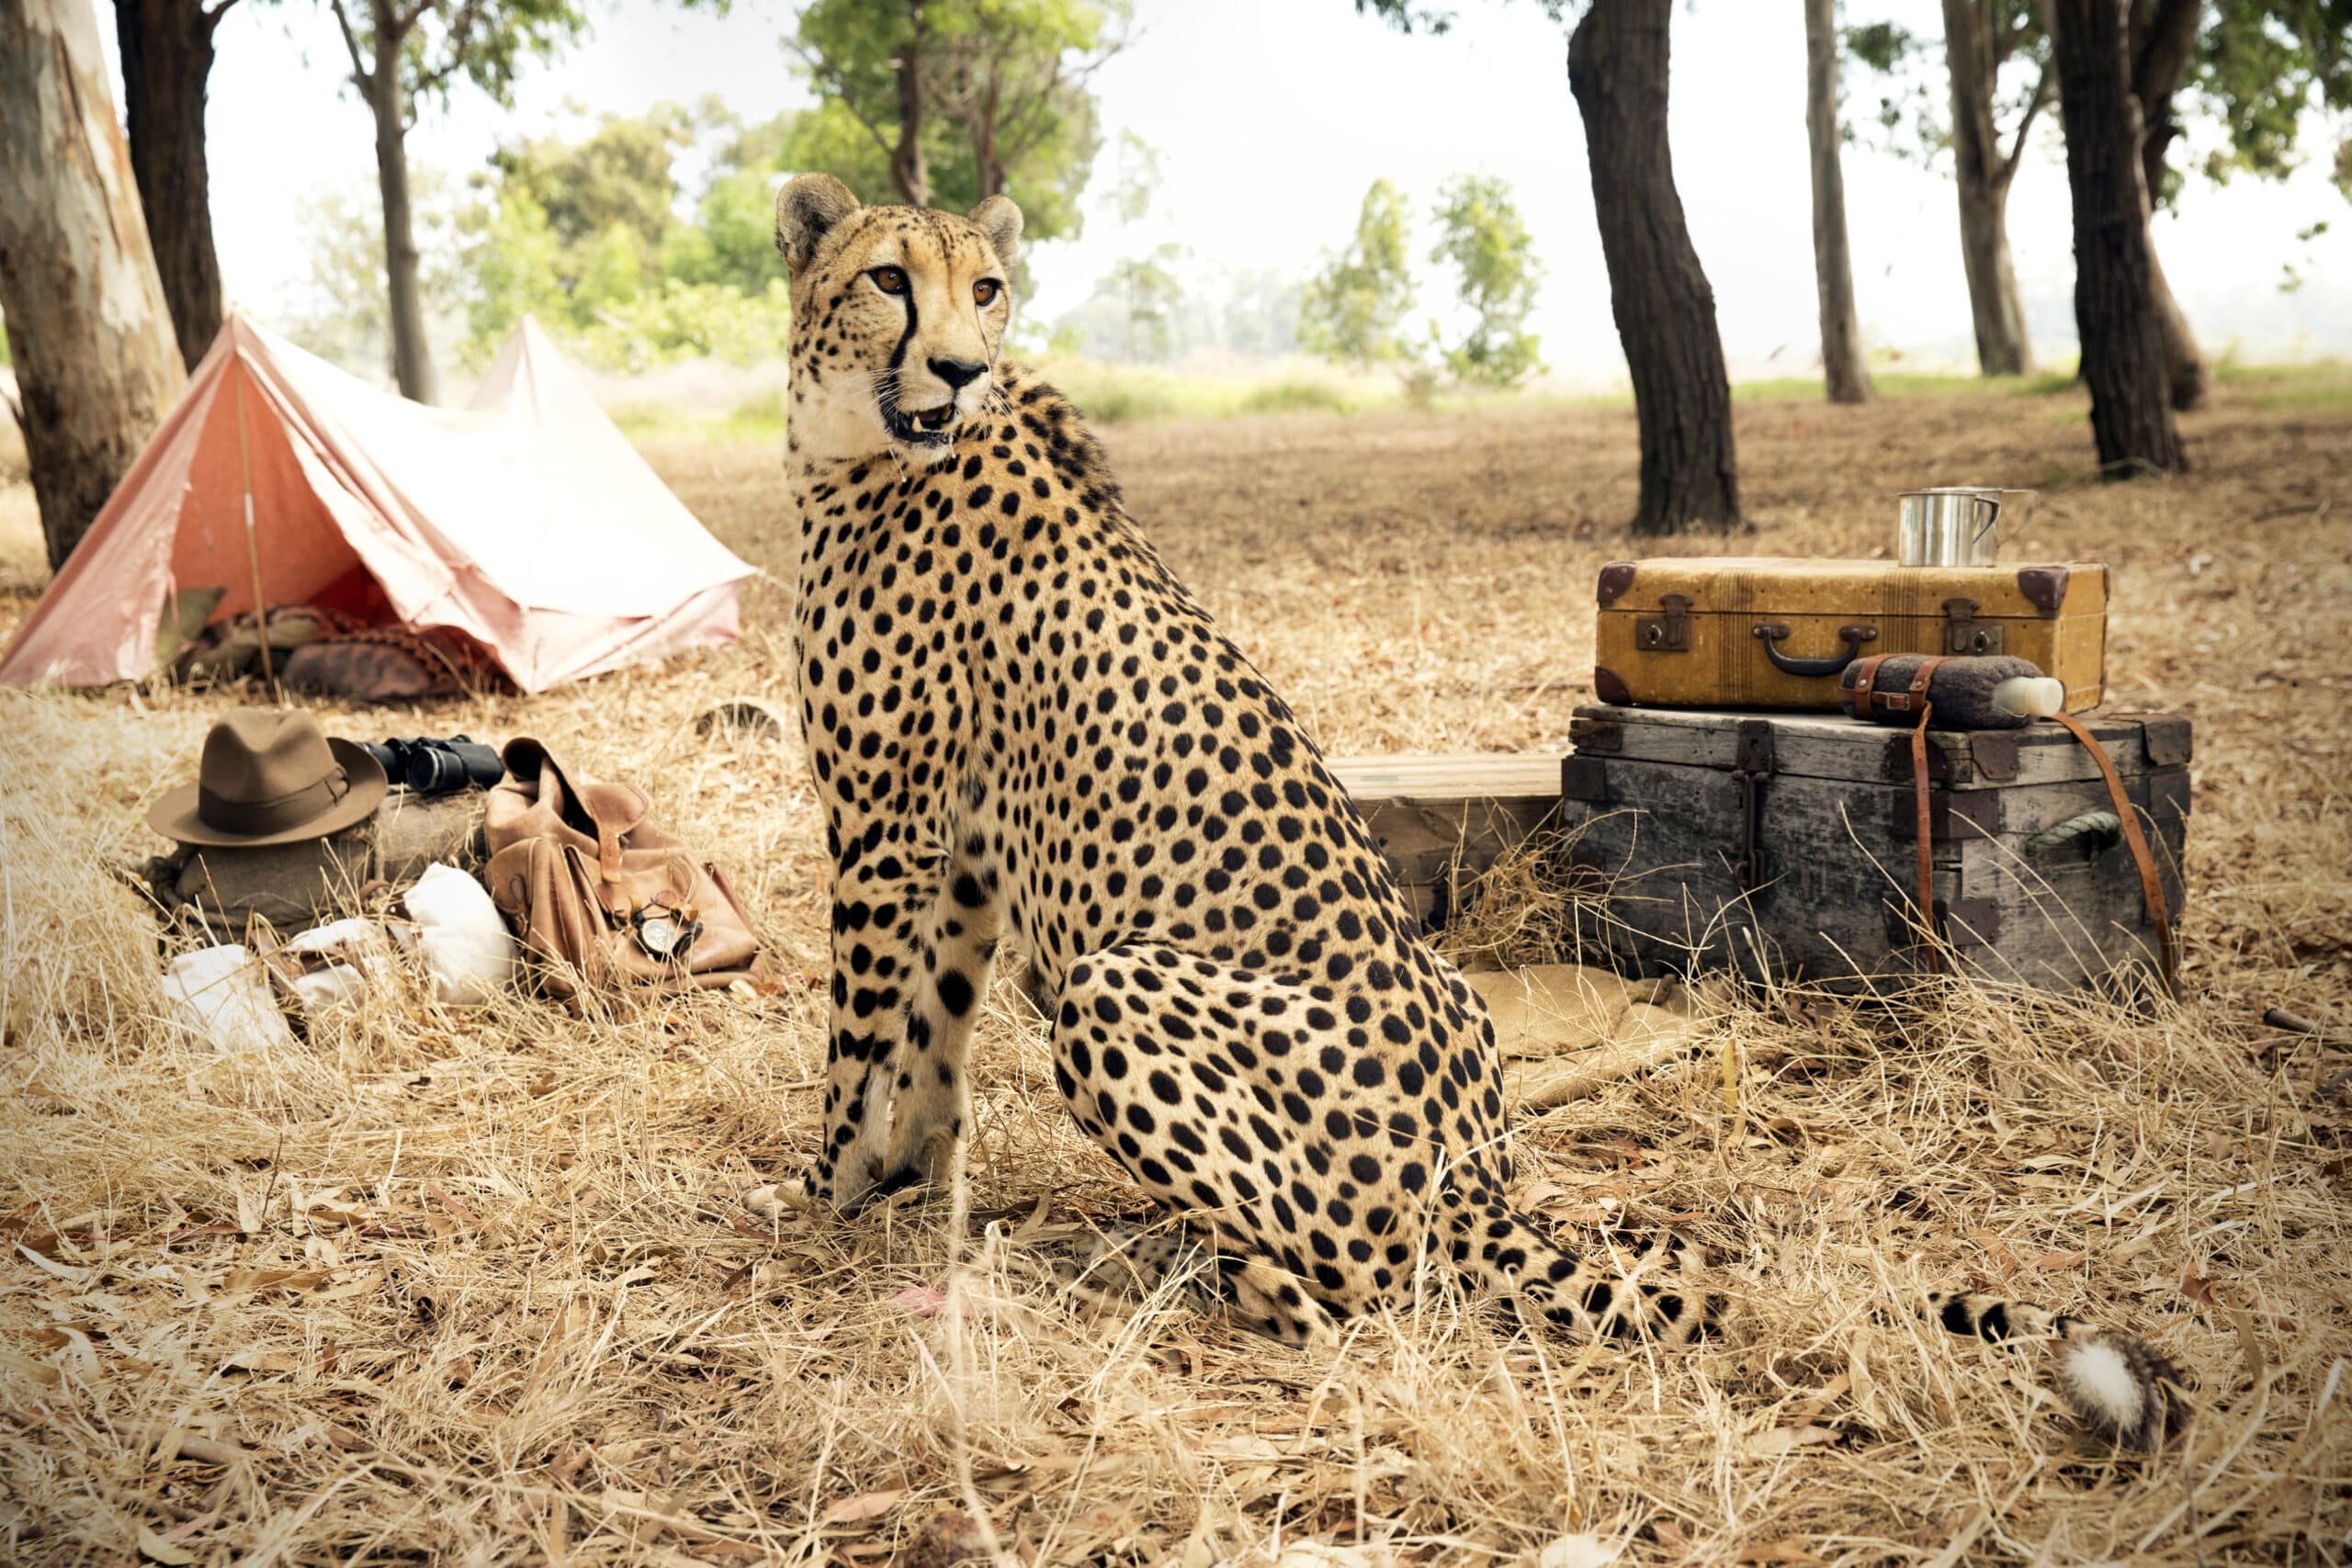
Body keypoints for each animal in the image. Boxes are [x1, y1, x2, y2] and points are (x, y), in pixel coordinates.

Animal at [766, 177, 2182, 1457]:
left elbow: (855, 1035)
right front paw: (908, 1184)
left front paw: (819, 1197)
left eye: (986, 287)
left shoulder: (882, 826)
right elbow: (932, 1039)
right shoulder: (956, 849)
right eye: (890, 278)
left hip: (1120, 988)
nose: (959, 369)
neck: (868, 447)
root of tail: (1479, 1179)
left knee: (1357, 1284)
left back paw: (1173, 1270)